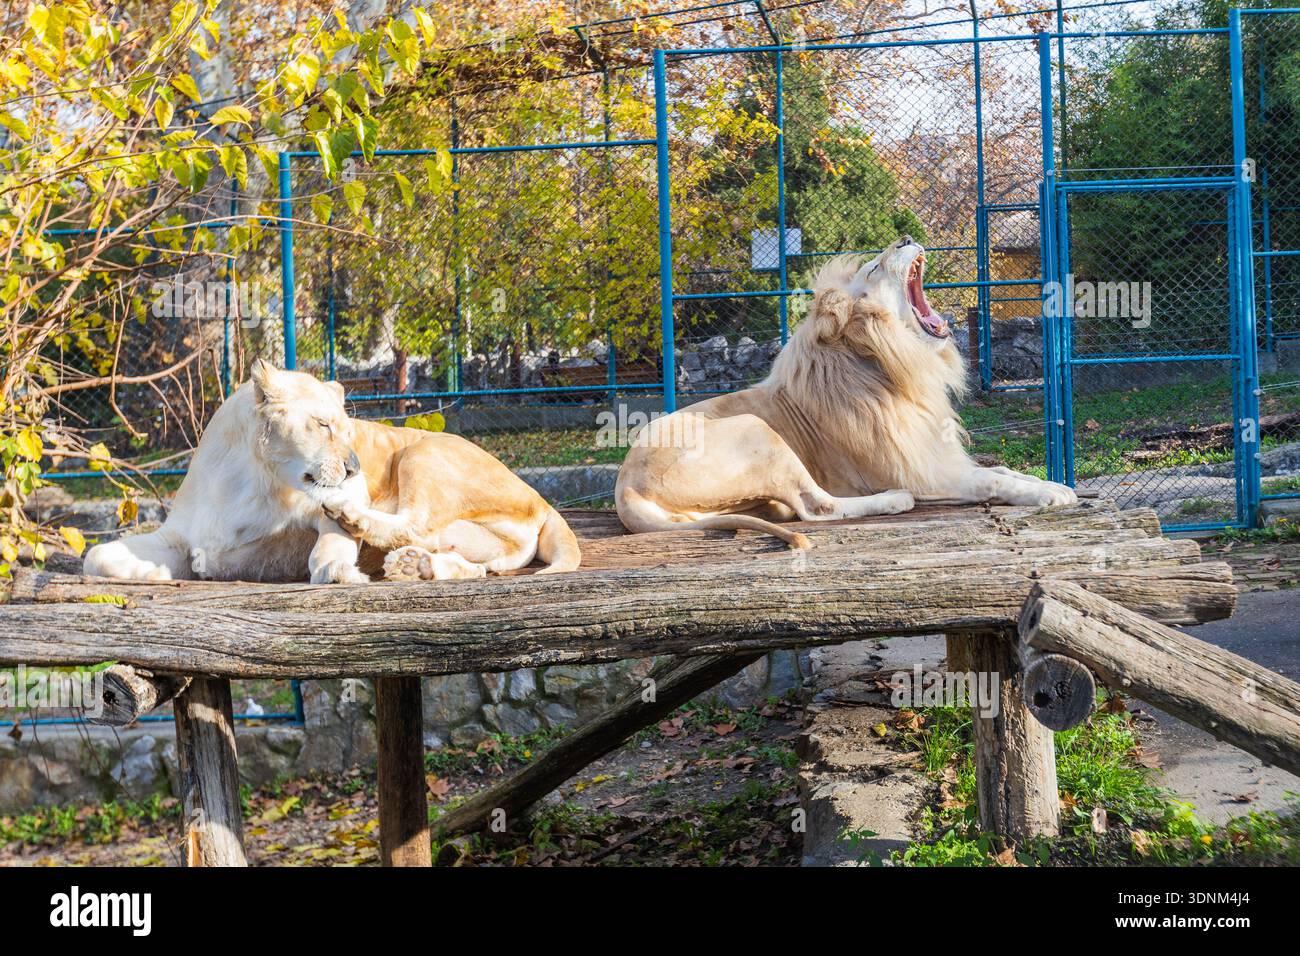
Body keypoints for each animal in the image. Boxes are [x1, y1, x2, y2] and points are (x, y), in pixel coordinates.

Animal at [82, 361, 582, 583]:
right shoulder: (181, 538)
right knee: (470, 567)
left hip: (424, 450)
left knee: (411, 521)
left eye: (347, 430)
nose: (354, 466)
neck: (246, 481)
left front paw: (338, 568)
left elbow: (329, 543)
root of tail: (542, 501)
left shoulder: (332, 500)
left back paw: (360, 523)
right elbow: (97, 557)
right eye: (323, 425)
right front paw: (157, 574)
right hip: (482, 544)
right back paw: (415, 566)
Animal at [615, 236, 1076, 547]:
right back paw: (894, 501)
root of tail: (625, 490)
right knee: (817, 507)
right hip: (756, 430)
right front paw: (1050, 493)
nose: (905, 238)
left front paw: (1047, 482)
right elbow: (989, 480)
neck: (896, 364)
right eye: (874, 268)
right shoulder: (920, 471)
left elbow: (1004, 470)